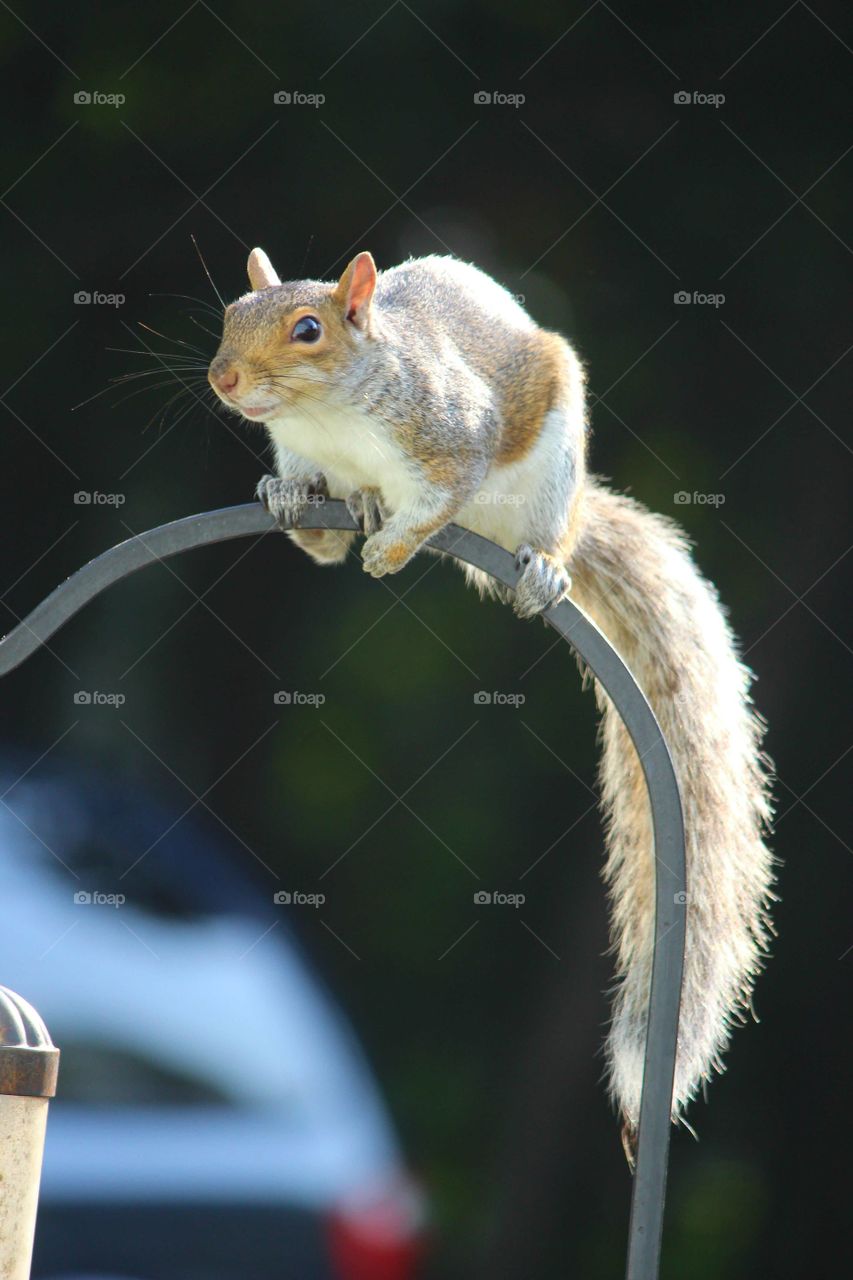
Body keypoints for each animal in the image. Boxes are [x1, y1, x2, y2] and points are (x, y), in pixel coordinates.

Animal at [208, 247, 775, 1160]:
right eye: (229, 313)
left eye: (309, 329)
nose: (223, 378)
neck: (328, 417)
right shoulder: (301, 453)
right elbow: (315, 537)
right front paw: (295, 503)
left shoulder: (448, 437)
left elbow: (435, 501)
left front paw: (392, 550)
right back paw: (359, 504)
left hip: (547, 478)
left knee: (544, 538)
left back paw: (539, 568)